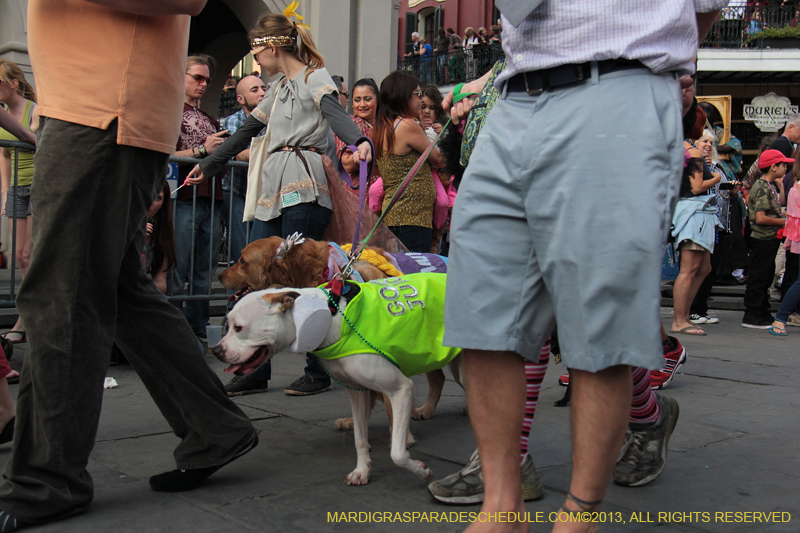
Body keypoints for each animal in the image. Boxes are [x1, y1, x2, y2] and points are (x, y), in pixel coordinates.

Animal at [212, 272, 466, 484]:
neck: (329, 318)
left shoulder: (400, 389)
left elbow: (397, 453)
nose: (216, 351)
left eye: (238, 327)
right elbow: (360, 439)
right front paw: (362, 471)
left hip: (460, 369)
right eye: (228, 325)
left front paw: (421, 470)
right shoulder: (357, 391)